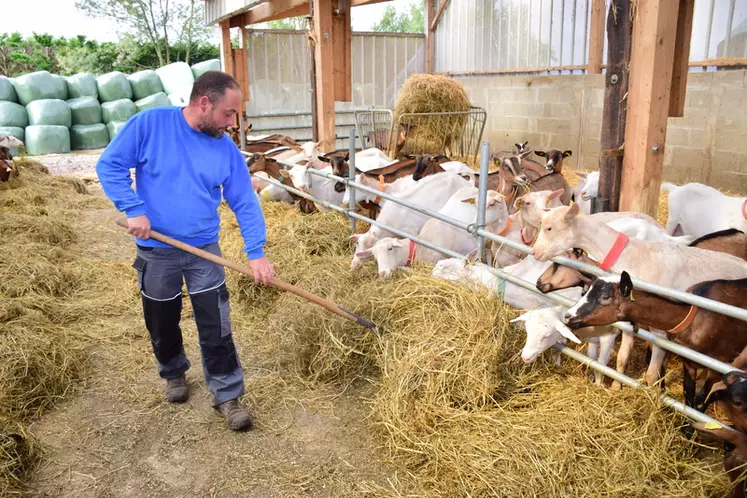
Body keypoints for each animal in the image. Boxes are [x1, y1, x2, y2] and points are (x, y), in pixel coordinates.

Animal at [564, 270, 747, 410]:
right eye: (585, 292)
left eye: (605, 296)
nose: (568, 316)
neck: (693, 318)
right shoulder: (688, 360)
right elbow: (688, 392)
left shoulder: (719, 361)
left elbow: (701, 399)